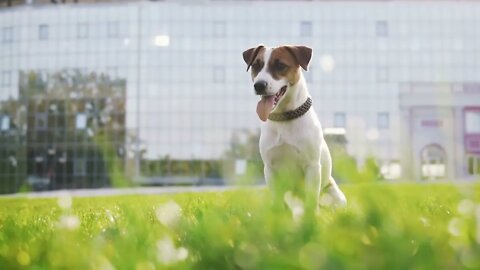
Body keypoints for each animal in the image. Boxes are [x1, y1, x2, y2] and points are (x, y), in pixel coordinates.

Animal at [242, 44, 346, 213]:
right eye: (256, 65)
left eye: (280, 65)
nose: (259, 85)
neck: (285, 117)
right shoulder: (270, 169)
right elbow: (278, 201)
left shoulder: (312, 166)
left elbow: (311, 199)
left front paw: (311, 217)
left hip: (336, 196)